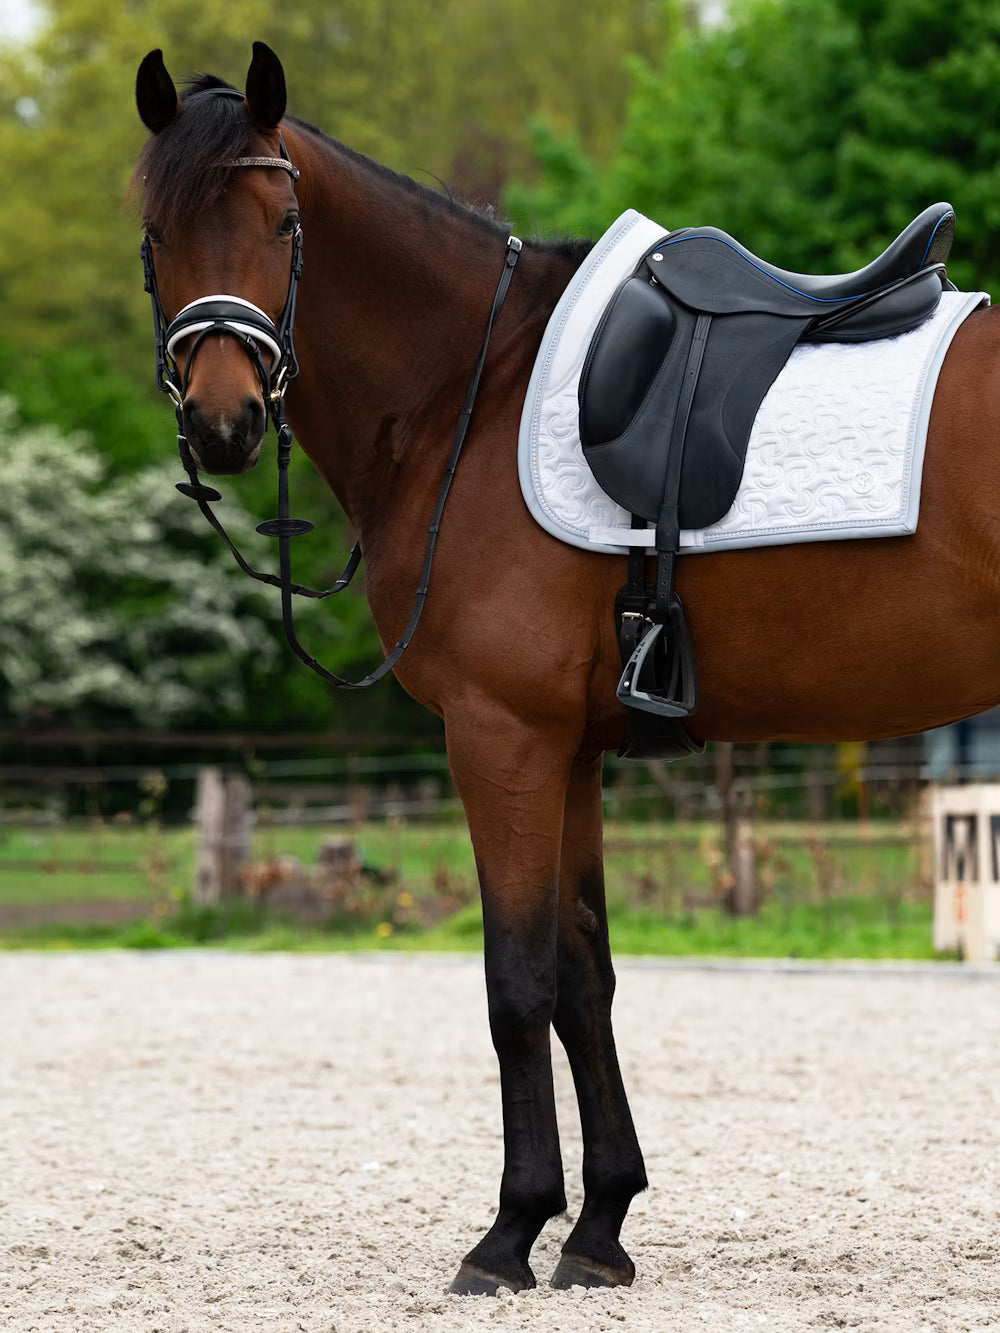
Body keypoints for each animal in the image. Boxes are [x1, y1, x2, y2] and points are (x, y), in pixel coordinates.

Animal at [133, 42, 1000, 1296]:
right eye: (156, 230)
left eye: (283, 222)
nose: (225, 420)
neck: (469, 390)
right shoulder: (575, 748)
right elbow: (584, 975)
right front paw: (599, 1224)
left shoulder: (502, 735)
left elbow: (517, 980)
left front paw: (509, 1229)